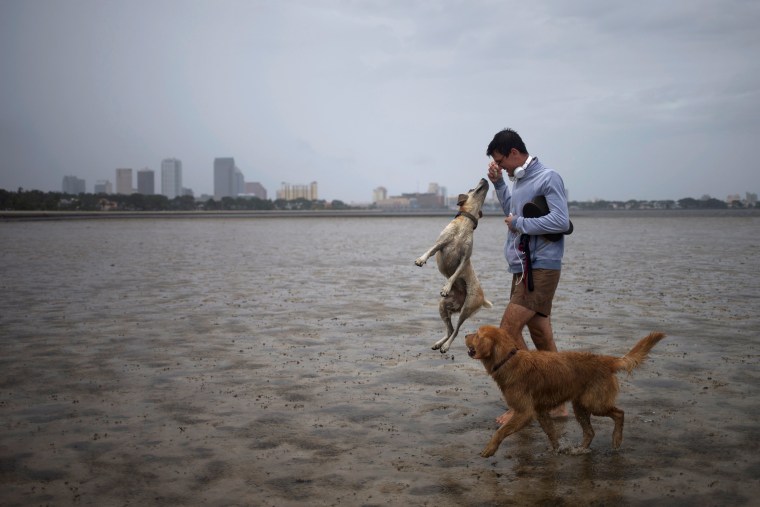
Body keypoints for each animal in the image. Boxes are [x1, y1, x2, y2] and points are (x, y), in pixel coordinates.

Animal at [416, 179, 492, 354]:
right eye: (471, 188)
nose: (485, 179)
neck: (465, 223)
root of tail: (483, 298)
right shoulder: (440, 244)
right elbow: (429, 251)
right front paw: (421, 260)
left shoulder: (464, 259)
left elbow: (455, 274)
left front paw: (446, 287)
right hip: (443, 306)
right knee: (450, 329)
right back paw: (438, 344)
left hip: (467, 308)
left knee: (456, 331)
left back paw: (445, 346)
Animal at [464, 328, 664, 458]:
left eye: (477, 335)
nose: (465, 334)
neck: (508, 360)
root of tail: (606, 360)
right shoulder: (540, 411)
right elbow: (552, 434)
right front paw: (557, 450)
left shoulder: (525, 412)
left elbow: (501, 431)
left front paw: (490, 449)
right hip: (580, 406)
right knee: (590, 432)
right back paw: (580, 450)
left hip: (594, 403)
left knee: (619, 413)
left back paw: (616, 440)